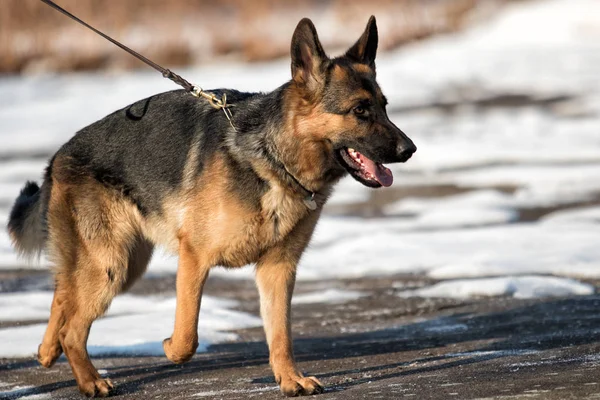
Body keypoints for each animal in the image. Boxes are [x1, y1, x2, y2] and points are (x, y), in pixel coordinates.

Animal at [7, 15, 414, 396]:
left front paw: (290, 379)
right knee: (73, 328)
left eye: (385, 107)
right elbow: (187, 337)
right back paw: (91, 381)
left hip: (122, 264)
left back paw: (47, 351)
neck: (273, 159)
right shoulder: (194, 258)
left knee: (63, 297)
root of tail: (58, 157)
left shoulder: (278, 270)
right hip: (112, 264)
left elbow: (281, 334)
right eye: (360, 110)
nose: (409, 150)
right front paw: (169, 347)